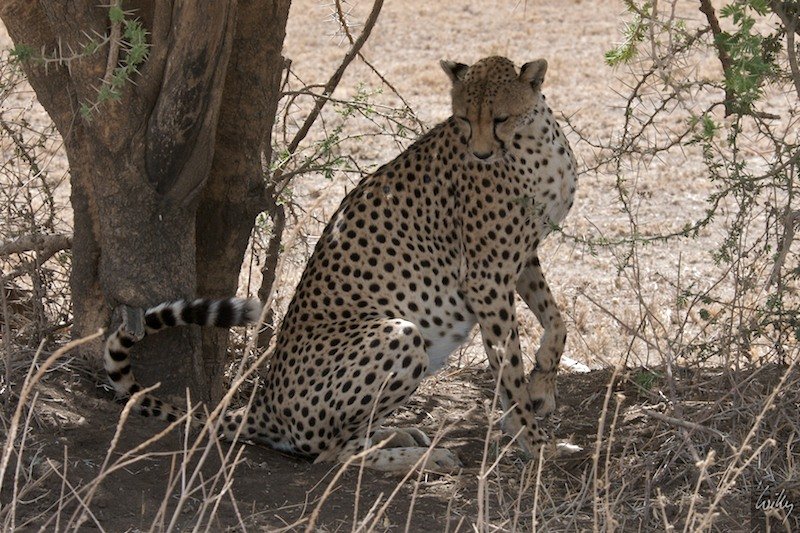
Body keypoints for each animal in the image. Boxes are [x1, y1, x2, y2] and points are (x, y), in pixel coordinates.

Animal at [103, 55, 578, 472]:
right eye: (462, 119)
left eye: (499, 118)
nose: (480, 155)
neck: (534, 139)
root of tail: (265, 402)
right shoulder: (486, 275)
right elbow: (508, 364)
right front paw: (532, 437)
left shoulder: (521, 257)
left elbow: (556, 321)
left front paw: (543, 386)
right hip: (400, 333)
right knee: (332, 454)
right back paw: (424, 457)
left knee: (345, 441)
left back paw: (396, 434)